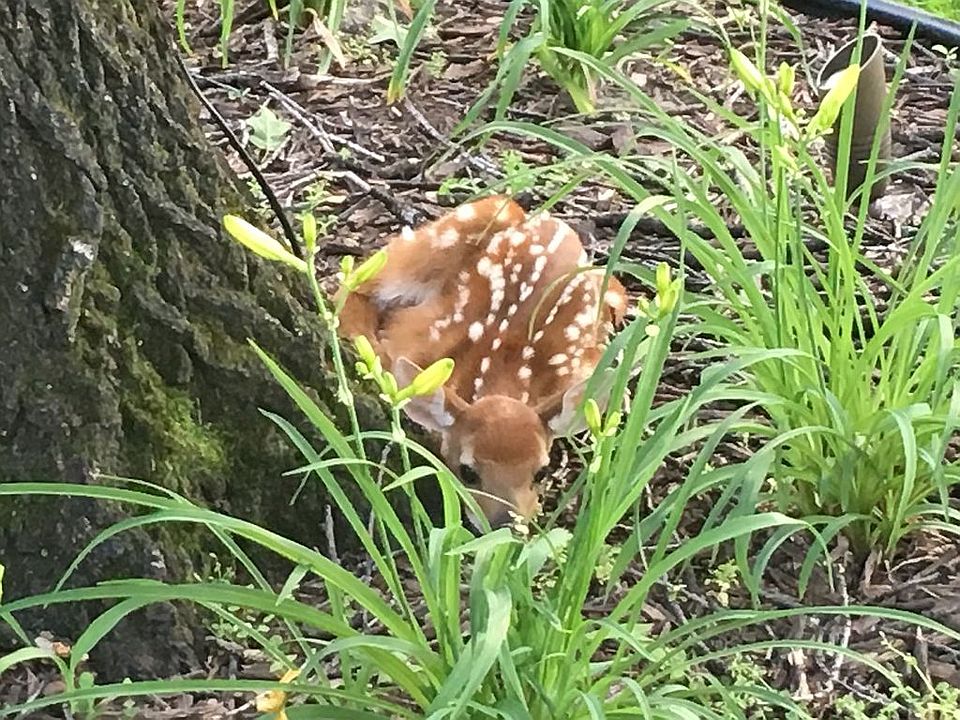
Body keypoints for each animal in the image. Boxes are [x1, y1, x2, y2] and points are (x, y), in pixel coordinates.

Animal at [335, 195, 628, 529]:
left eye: (540, 471)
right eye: (468, 472)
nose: (506, 524)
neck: (504, 367)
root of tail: (554, 223)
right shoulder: (423, 333)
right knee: (354, 285)